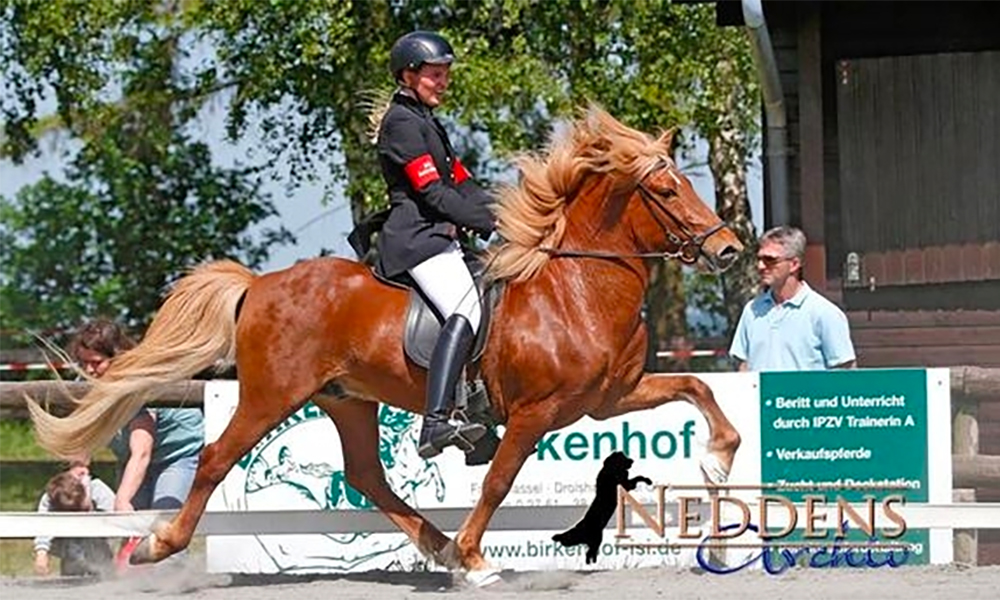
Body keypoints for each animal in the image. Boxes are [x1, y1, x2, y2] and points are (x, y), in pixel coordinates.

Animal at [27, 106, 744, 584]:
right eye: (665, 189)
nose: (729, 251)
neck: (574, 285)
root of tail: (258, 286)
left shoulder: (606, 399)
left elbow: (696, 385)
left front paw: (717, 461)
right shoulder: (534, 414)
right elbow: (498, 482)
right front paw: (477, 559)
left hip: (346, 399)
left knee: (365, 476)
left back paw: (436, 546)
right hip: (271, 394)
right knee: (215, 459)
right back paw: (158, 546)